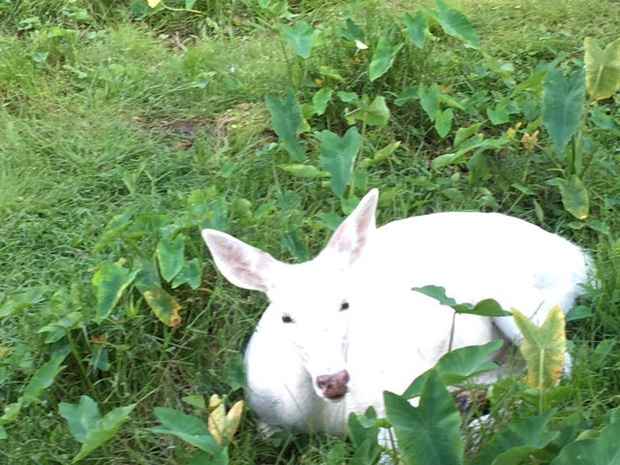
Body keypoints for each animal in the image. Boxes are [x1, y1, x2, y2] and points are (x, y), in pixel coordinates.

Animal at [202, 188, 592, 436]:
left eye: (345, 303)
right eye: (285, 316)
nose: (334, 380)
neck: (323, 417)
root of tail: (580, 260)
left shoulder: (405, 400)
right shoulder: (262, 415)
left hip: (523, 306)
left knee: (557, 374)